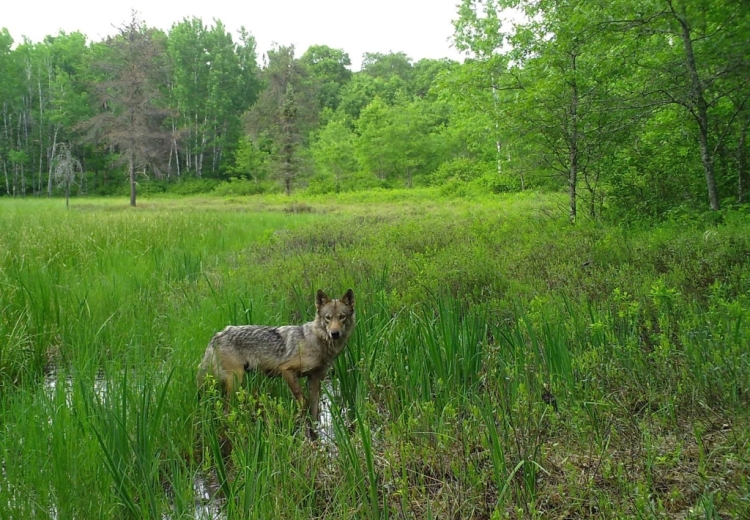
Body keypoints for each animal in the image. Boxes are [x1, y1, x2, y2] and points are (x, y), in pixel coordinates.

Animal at [197, 288, 356, 426]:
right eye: (328, 318)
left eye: (342, 317)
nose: (335, 333)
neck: (317, 341)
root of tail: (217, 335)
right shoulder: (286, 370)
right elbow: (303, 401)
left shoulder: (315, 380)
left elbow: (315, 410)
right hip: (236, 381)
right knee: (226, 410)